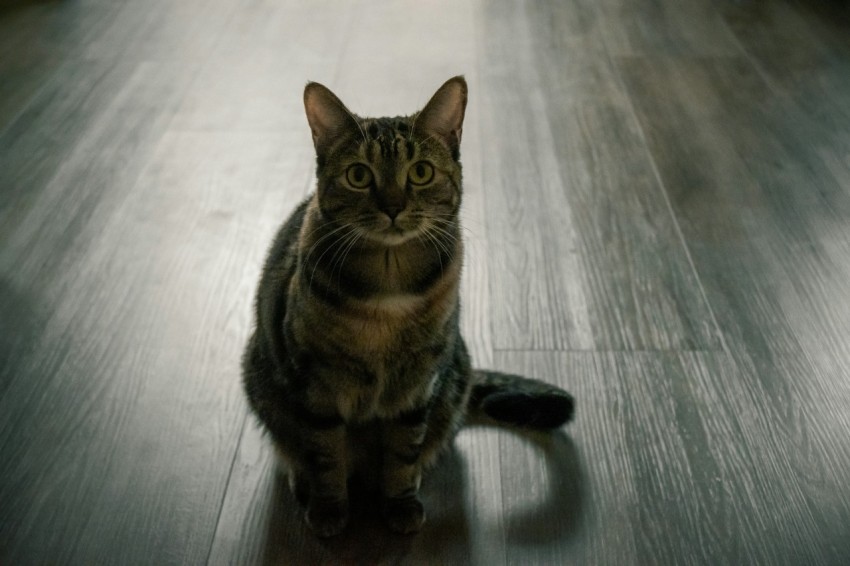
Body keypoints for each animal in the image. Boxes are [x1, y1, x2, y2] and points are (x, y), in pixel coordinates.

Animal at [238, 76, 572, 540]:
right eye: (359, 175)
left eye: (421, 172)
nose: (393, 207)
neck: (388, 285)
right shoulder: (316, 384)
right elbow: (325, 452)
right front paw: (328, 507)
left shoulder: (417, 384)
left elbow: (403, 451)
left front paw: (399, 503)